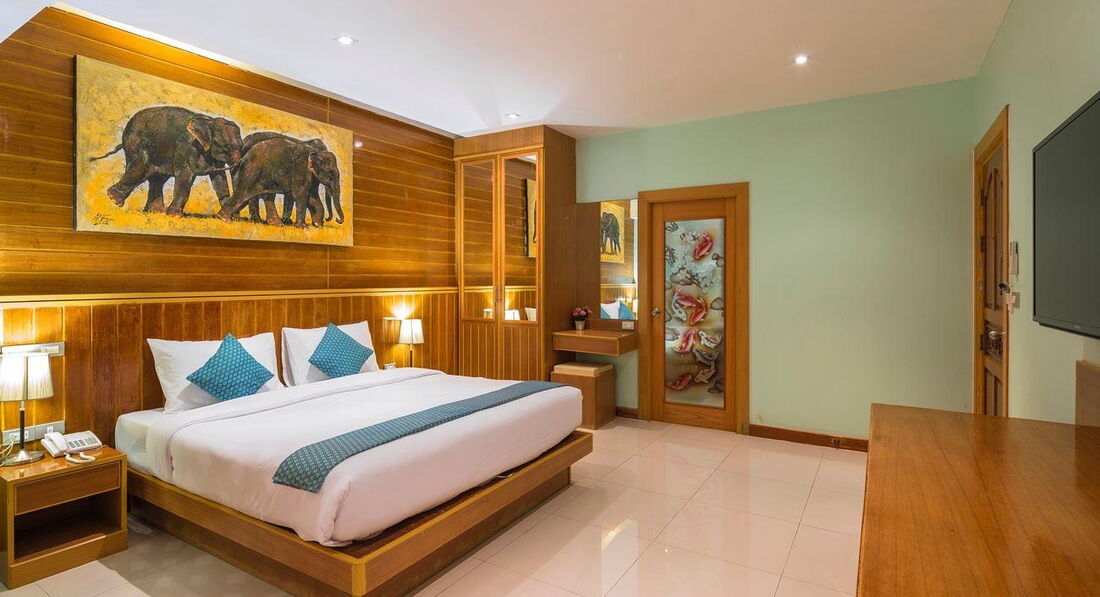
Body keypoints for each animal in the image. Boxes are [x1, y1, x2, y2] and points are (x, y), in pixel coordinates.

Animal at [89, 106, 243, 216]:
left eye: (242, 146)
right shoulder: (185, 145)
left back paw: (155, 211)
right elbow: (185, 175)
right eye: (225, 147)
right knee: (140, 168)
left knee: (155, 177)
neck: (208, 121)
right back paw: (114, 199)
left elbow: (219, 179)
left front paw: (230, 218)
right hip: (136, 142)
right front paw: (175, 215)